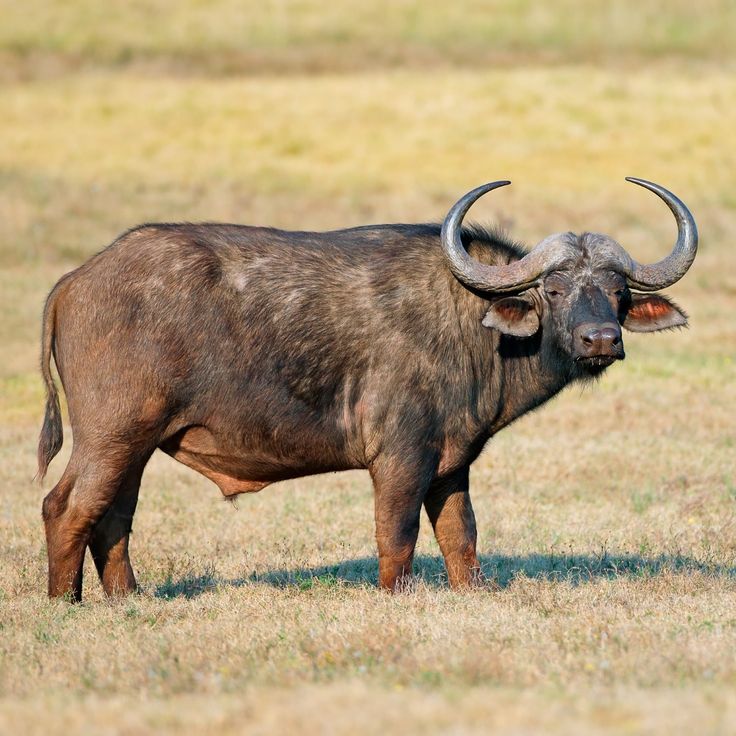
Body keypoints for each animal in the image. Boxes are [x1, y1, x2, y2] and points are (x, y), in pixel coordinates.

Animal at [37, 178, 697, 600]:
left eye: (616, 290)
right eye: (553, 290)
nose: (600, 339)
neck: (469, 320)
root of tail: (76, 279)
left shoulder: (452, 462)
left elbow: (461, 535)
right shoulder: (400, 459)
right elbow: (397, 534)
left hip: (137, 446)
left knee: (113, 516)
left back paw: (127, 598)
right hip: (111, 435)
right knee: (67, 507)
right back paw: (64, 602)